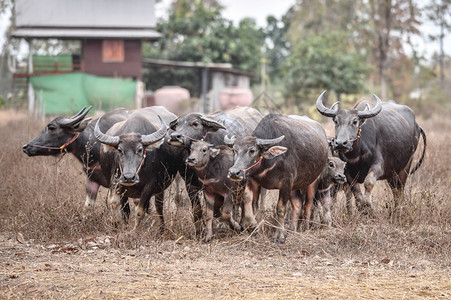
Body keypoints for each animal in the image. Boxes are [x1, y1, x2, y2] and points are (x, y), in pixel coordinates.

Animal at [226, 113, 328, 243]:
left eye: (252, 150)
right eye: (235, 150)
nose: (234, 172)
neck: (270, 162)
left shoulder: (286, 184)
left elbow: (280, 209)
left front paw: (279, 236)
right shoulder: (252, 180)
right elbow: (248, 201)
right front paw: (254, 225)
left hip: (313, 181)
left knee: (307, 206)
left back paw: (304, 229)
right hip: (294, 187)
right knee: (297, 204)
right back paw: (293, 230)